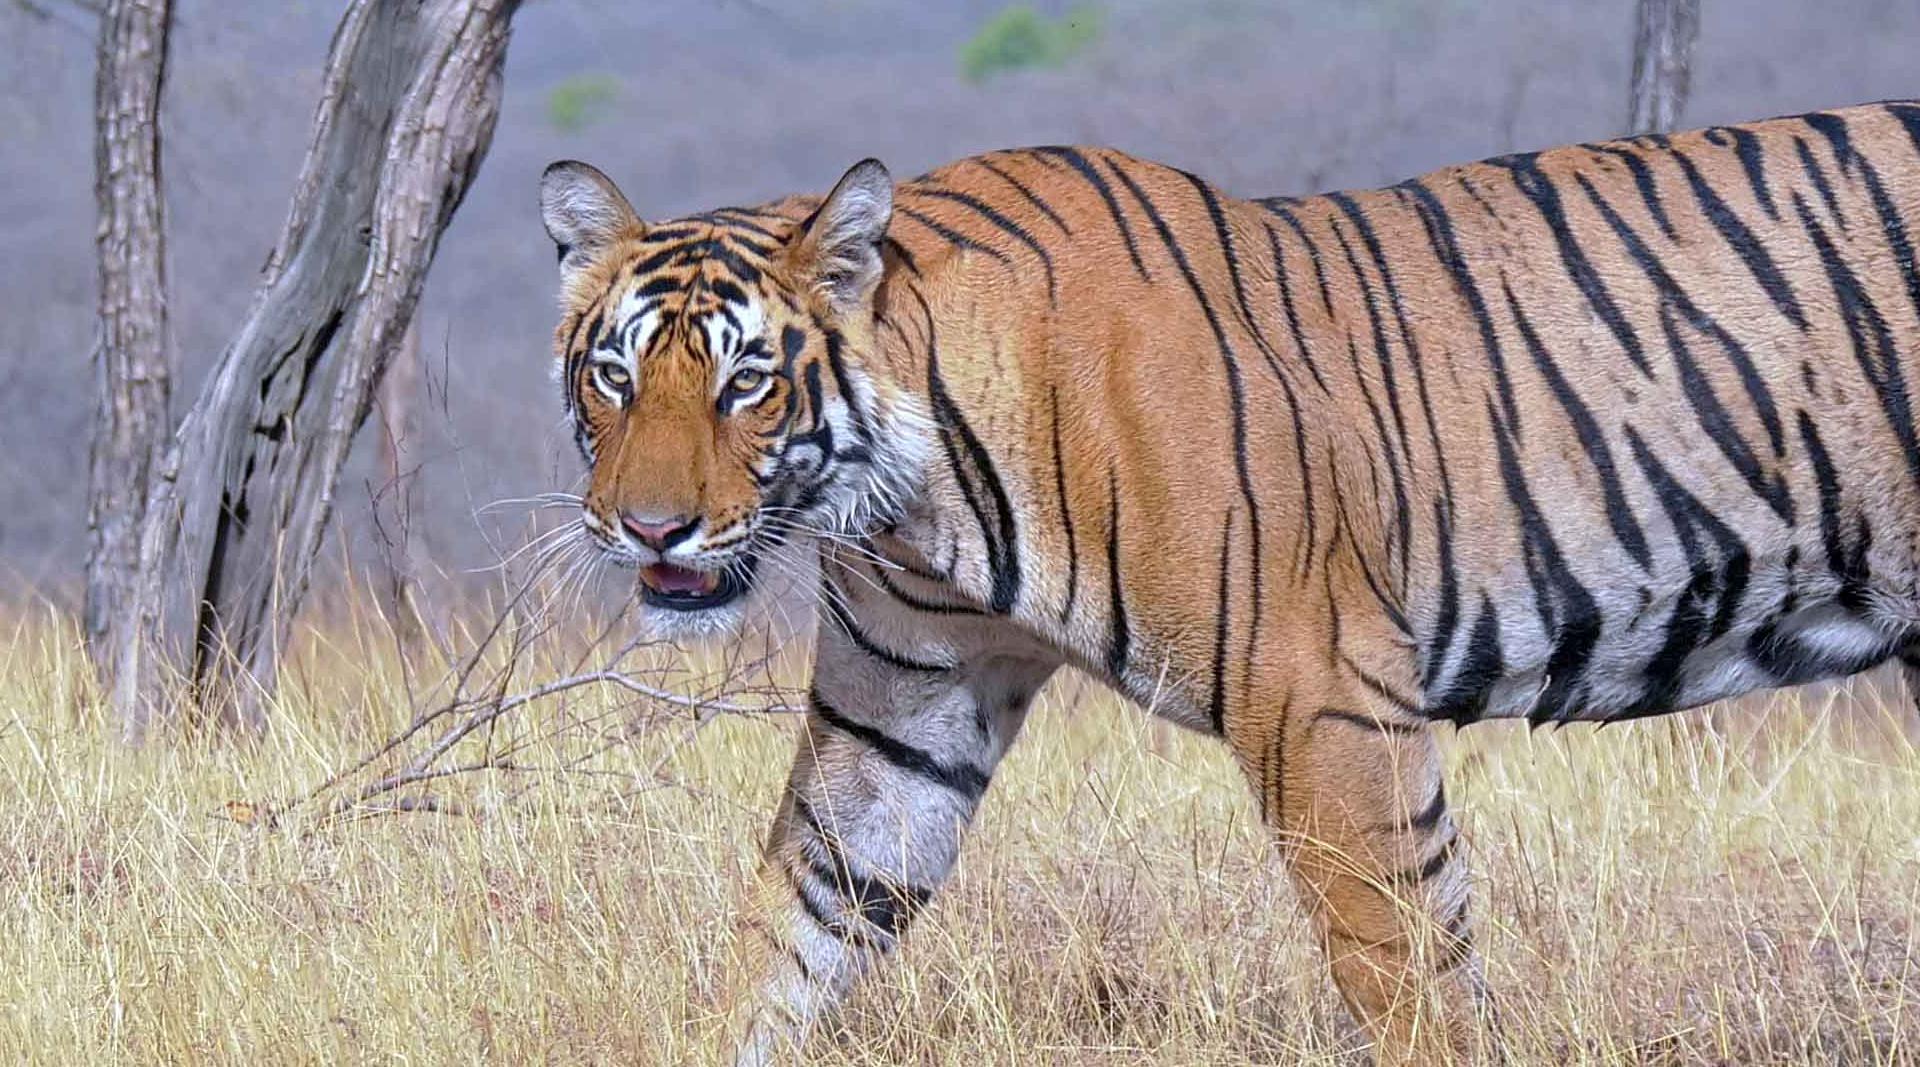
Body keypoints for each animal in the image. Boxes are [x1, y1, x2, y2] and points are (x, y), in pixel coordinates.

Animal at [533, 97, 1920, 1059]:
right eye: (613, 375)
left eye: (745, 381)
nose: (649, 530)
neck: (912, 494)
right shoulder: (898, 724)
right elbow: (788, 932)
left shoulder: (1320, 695)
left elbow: (1407, 964)